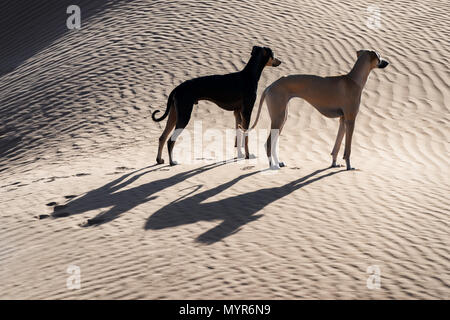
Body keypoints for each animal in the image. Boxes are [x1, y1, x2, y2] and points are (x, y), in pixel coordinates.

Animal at [251, 50, 388, 170]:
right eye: (379, 56)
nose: (387, 62)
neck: (353, 80)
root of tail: (269, 86)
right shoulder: (350, 120)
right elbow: (347, 149)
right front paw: (349, 166)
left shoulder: (342, 120)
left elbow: (337, 146)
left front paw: (334, 163)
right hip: (278, 118)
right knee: (268, 144)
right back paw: (272, 165)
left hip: (282, 118)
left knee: (273, 143)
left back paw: (278, 162)